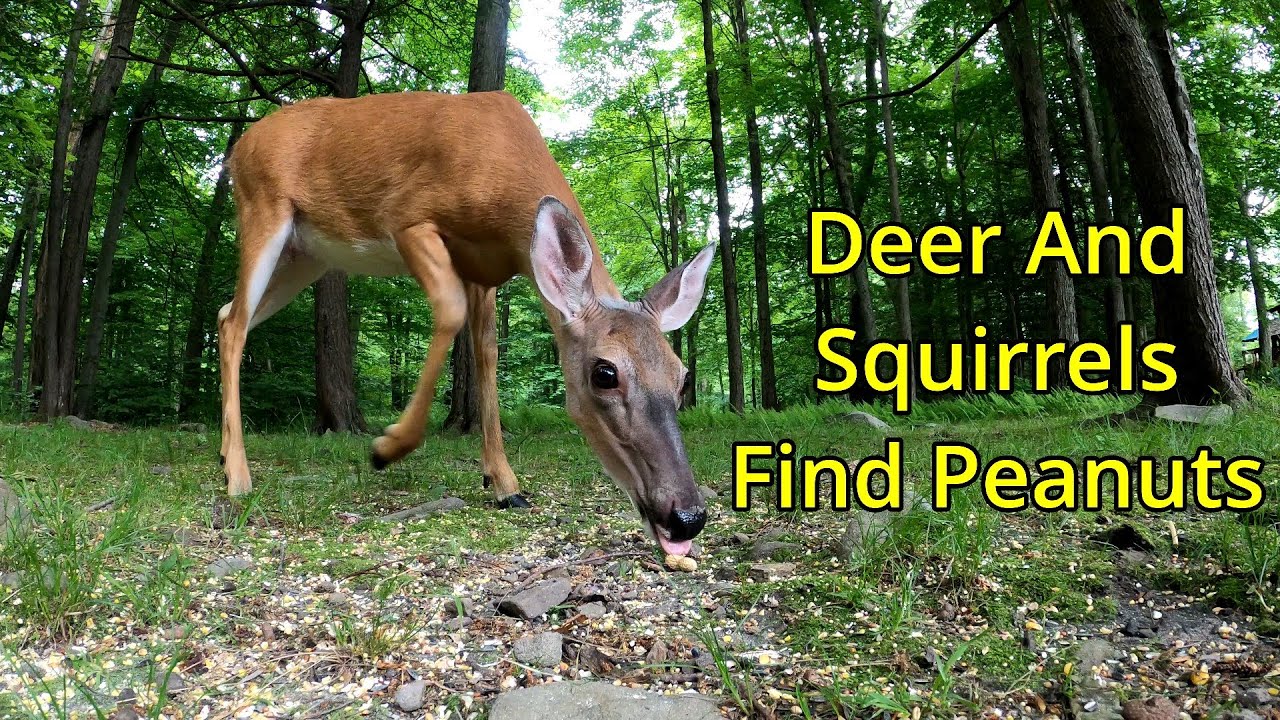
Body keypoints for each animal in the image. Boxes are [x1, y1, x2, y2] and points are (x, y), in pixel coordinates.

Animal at [216, 90, 716, 555]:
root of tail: (239, 146)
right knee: (236, 323)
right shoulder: (408, 219)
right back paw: (238, 477)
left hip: (306, 257)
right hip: (264, 212)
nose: (686, 517)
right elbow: (451, 312)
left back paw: (224, 456)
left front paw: (505, 485)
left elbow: (487, 353)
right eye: (605, 373)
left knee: (225, 315)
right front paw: (388, 447)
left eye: (682, 377)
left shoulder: (486, 270)